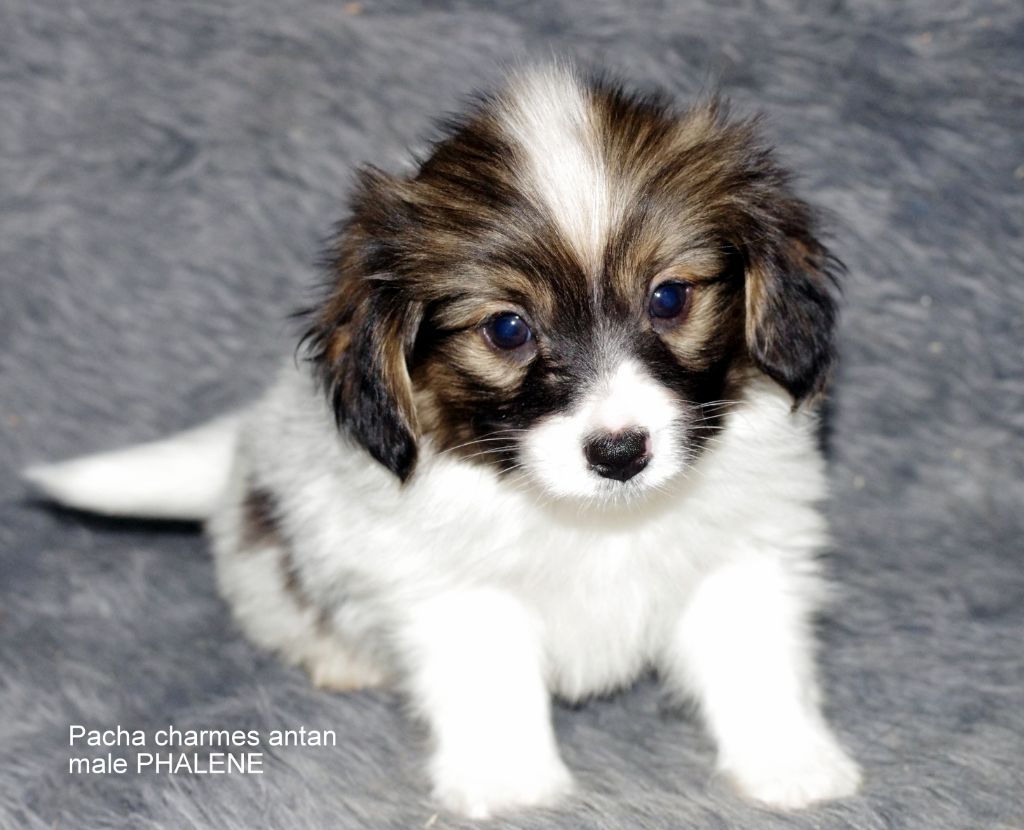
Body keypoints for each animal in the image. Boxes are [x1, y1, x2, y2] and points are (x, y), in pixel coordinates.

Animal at [26, 65, 861, 818]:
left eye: (669, 298)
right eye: (508, 329)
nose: (620, 453)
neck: (593, 519)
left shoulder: (743, 556)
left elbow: (756, 662)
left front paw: (790, 764)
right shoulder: (457, 590)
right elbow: (490, 682)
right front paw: (509, 785)